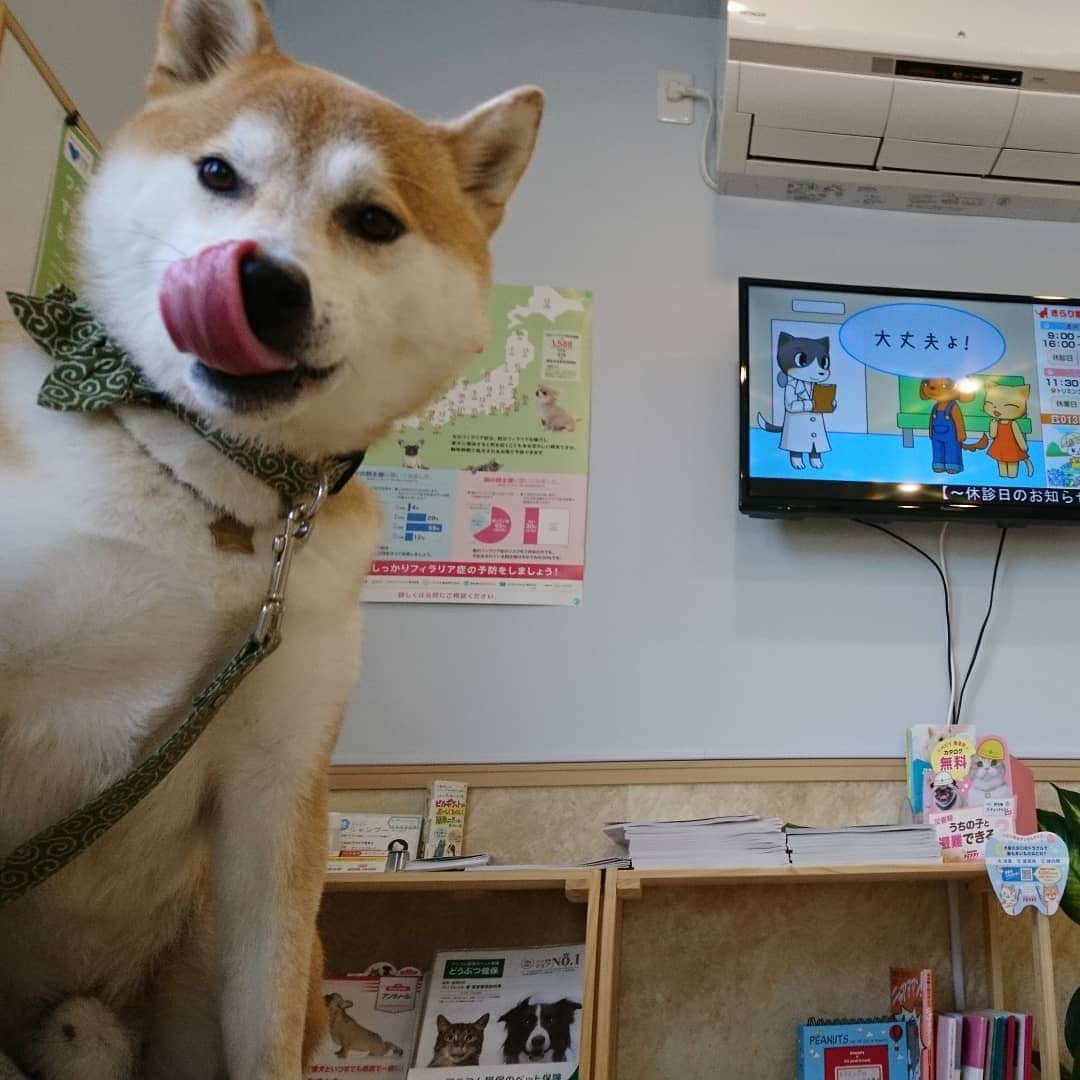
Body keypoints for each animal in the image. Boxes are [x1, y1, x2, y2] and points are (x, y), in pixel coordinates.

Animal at [0, 4, 540, 1075]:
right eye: (218, 173)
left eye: (373, 221)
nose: (261, 280)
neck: (222, 506)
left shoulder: (274, 783)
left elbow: (269, 1028)